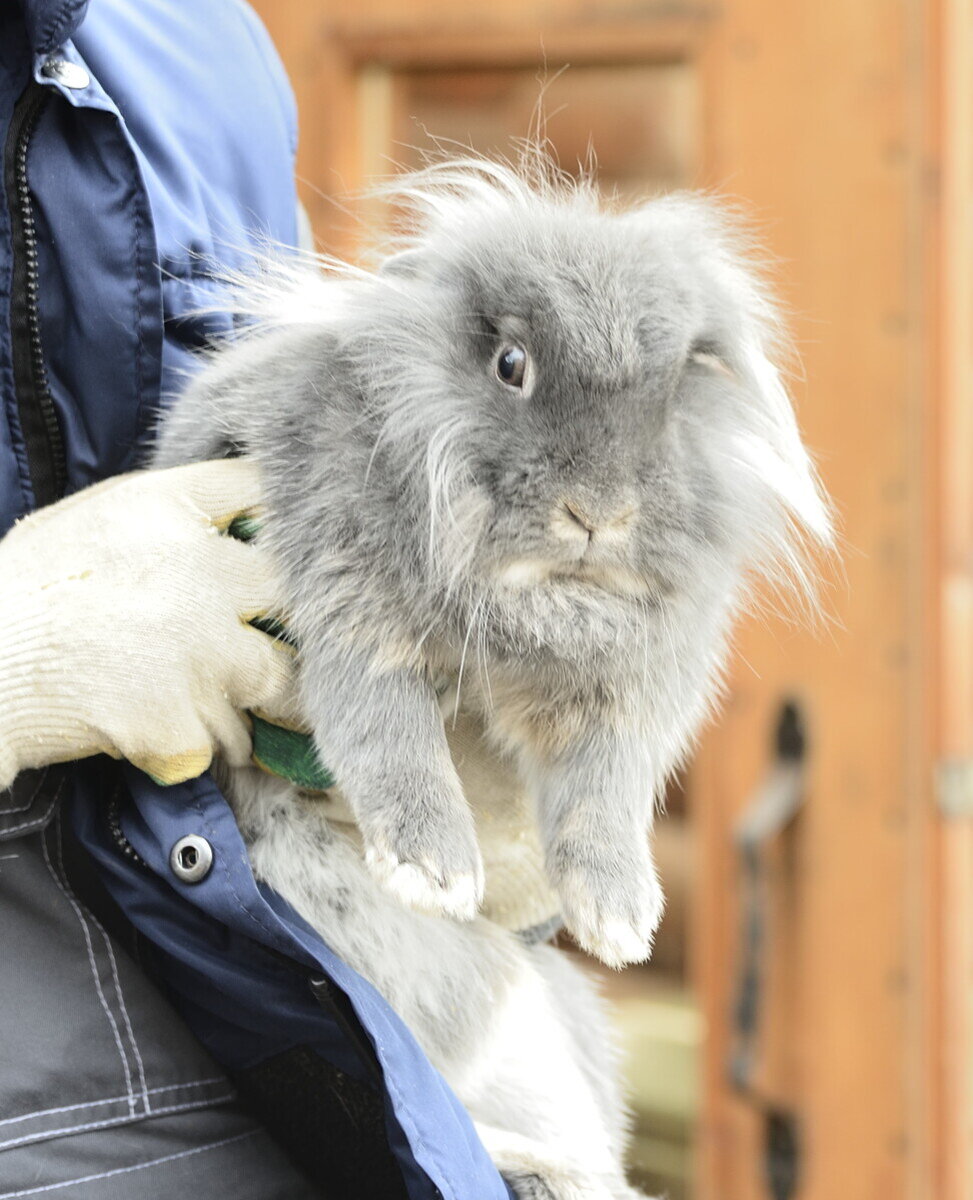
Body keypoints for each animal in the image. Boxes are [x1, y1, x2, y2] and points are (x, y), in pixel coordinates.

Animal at [152, 157, 830, 1190]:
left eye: (672, 392)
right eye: (511, 366)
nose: (596, 513)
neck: (540, 600)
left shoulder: (619, 707)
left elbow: (602, 797)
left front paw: (619, 916)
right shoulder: (349, 614)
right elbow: (389, 740)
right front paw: (435, 869)